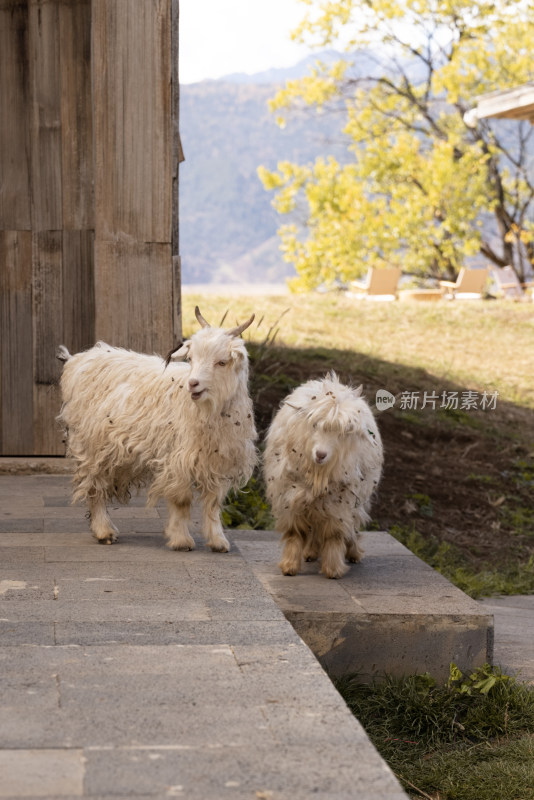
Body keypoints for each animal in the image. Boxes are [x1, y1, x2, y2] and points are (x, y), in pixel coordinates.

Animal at [57, 304, 258, 552]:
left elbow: (213, 503)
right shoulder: (177, 458)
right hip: (92, 446)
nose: (193, 384)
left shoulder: (219, 461)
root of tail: (77, 359)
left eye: (222, 362)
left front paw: (218, 541)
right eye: (191, 358)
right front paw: (181, 540)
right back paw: (104, 531)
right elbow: (182, 500)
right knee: (96, 487)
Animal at [264, 372, 384, 580]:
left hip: (356, 500)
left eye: (343, 433)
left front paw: (333, 569)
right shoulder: (291, 498)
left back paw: (353, 553)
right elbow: (295, 532)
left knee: (351, 528)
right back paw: (310, 552)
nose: (321, 454)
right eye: (314, 425)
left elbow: (334, 535)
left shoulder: (339, 505)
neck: (318, 474)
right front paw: (289, 566)